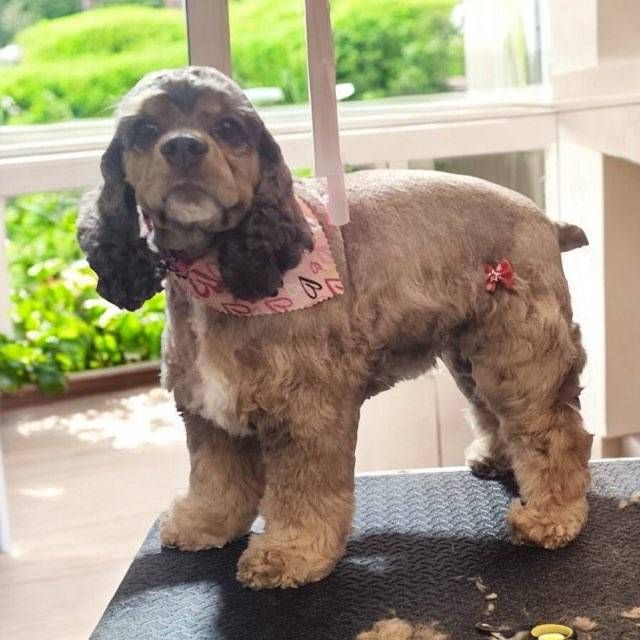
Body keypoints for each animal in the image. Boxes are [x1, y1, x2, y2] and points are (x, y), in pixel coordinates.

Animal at [77, 66, 592, 592]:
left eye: (227, 128)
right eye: (144, 130)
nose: (183, 146)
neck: (215, 272)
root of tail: (545, 220)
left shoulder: (307, 411)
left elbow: (303, 492)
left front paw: (290, 553)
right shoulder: (209, 412)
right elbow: (216, 477)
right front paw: (206, 522)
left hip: (521, 357)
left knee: (555, 431)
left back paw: (551, 516)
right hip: (469, 355)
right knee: (494, 412)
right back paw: (497, 455)